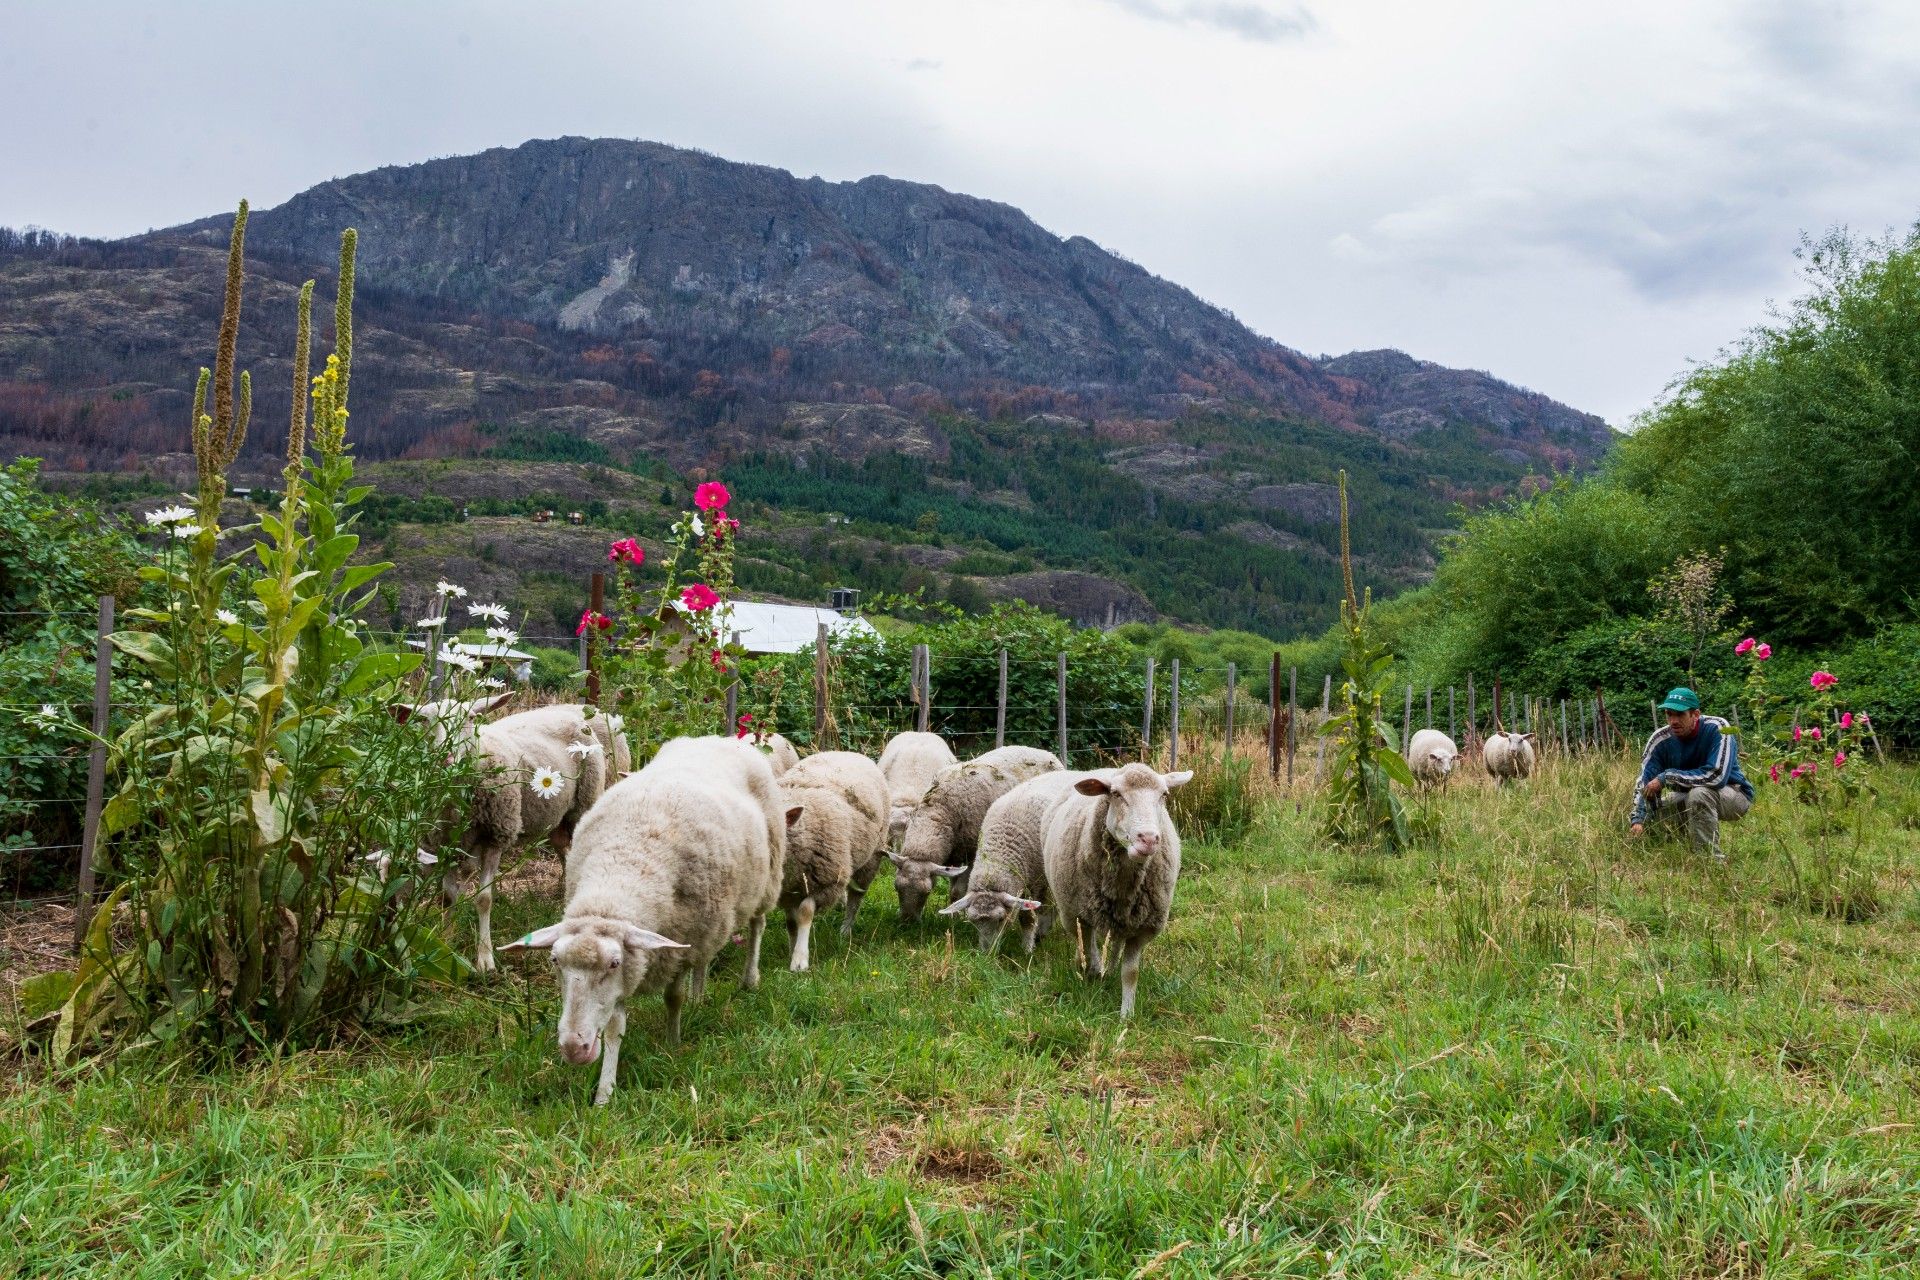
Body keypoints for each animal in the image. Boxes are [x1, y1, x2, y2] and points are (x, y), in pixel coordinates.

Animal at [503, 736, 794, 1105]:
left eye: (613, 963)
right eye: (555, 961)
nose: (573, 1049)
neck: (622, 869)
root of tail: (720, 738)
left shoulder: (674, 948)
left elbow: (673, 999)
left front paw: (673, 1043)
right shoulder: (639, 962)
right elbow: (614, 1029)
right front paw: (604, 1093)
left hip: (766, 876)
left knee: (757, 925)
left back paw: (749, 979)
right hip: (712, 918)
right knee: (706, 958)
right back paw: (700, 996)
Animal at [771, 752, 890, 971]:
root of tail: (848, 753)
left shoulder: (826, 882)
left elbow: (805, 913)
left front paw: (800, 960)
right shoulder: (787, 891)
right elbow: (791, 922)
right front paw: (792, 950)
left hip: (870, 859)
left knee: (855, 898)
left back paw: (845, 930)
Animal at [887, 740, 1059, 921]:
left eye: (927, 891)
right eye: (896, 887)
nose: (908, 921)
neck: (940, 810)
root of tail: (1044, 752)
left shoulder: (971, 855)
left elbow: (956, 892)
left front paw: (955, 919)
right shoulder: (953, 856)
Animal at [936, 771, 1090, 951]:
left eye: (1001, 919)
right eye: (974, 922)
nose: (986, 953)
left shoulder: (1037, 882)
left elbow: (1030, 915)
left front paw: (1028, 949)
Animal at [1044, 759, 1190, 1020]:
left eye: (1164, 795)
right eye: (1116, 794)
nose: (1148, 839)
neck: (1122, 887)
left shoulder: (1143, 928)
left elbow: (1130, 973)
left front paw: (1126, 1015)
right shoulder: (1076, 916)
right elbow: (1089, 953)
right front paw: (1091, 982)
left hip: (1123, 922)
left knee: (1115, 944)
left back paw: (1110, 968)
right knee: (1086, 946)